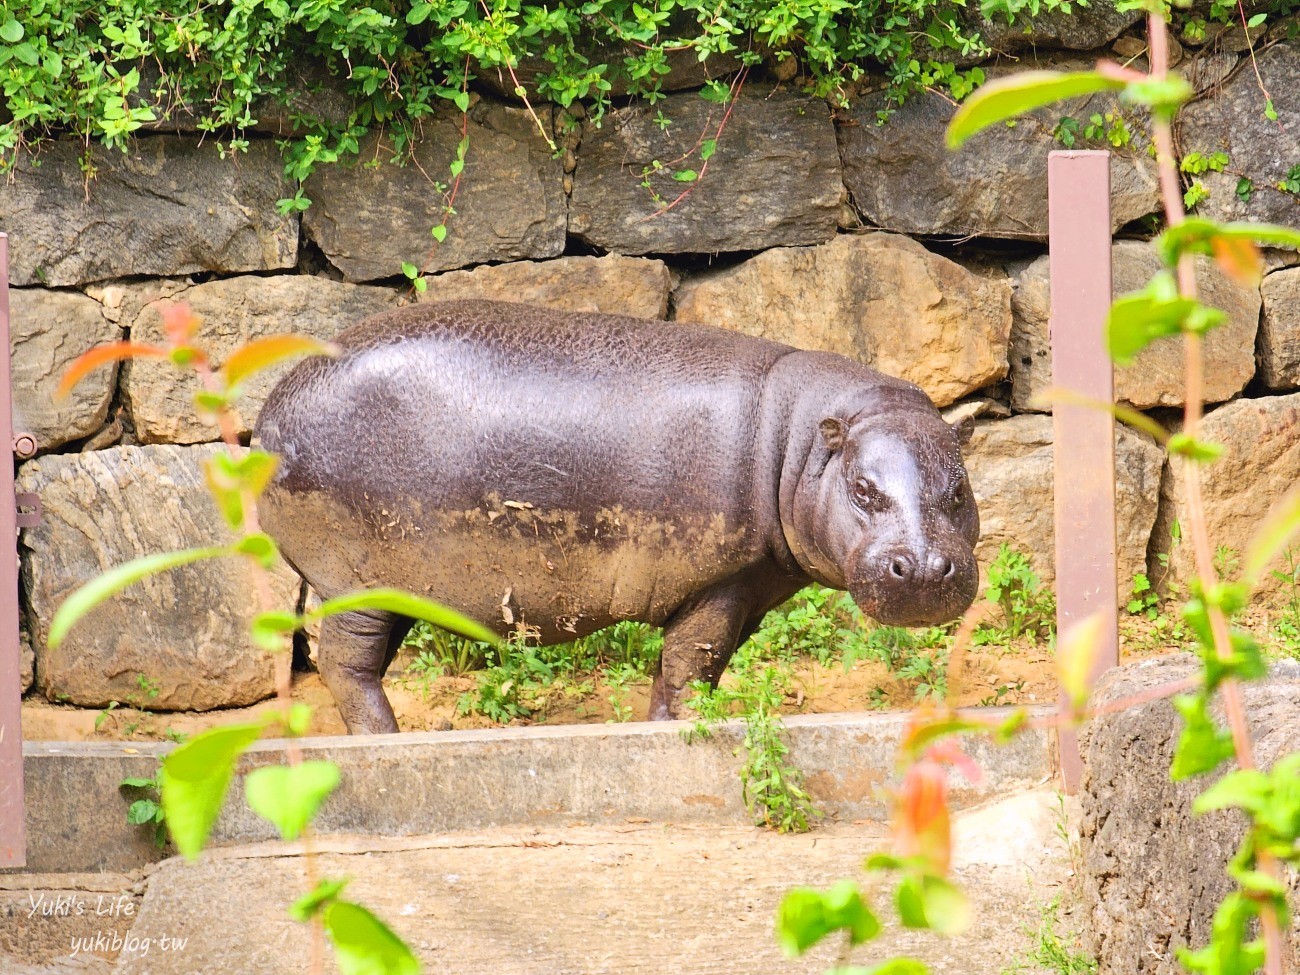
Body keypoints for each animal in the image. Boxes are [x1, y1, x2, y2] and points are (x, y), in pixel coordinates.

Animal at [258, 301, 977, 738]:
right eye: (863, 488)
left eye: (960, 488)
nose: (923, 569)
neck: (798, 442)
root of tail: (269, 412)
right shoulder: (719, 582)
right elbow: (693, 665)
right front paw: (687, 727)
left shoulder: (750, 587)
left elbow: (682, 667)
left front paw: (660, 726)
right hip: (352, 580)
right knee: (346, 662)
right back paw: (384, 740)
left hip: (398, 585)